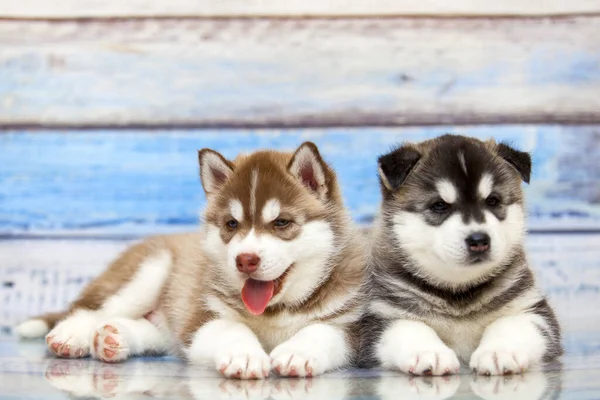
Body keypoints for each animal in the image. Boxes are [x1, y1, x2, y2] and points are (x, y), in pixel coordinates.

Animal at [360, 136, 564, 376]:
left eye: (493, 201)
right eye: (439, 205)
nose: (479, 240)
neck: (458, 294)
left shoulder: (533, 310)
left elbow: (511, 324)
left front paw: (499, 351)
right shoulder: (376, 318)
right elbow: (409, 326)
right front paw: (429, 352)